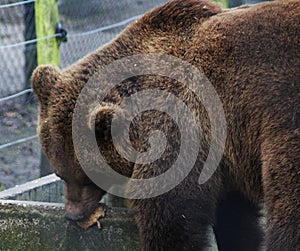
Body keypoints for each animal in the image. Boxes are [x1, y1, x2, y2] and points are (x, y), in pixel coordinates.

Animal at [31, 0, 300, 250]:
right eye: (60, 173)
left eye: (89, 178)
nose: (73, 214)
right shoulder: (223, 155)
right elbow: (234, 215)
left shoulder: (178, 128)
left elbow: (169, 212)